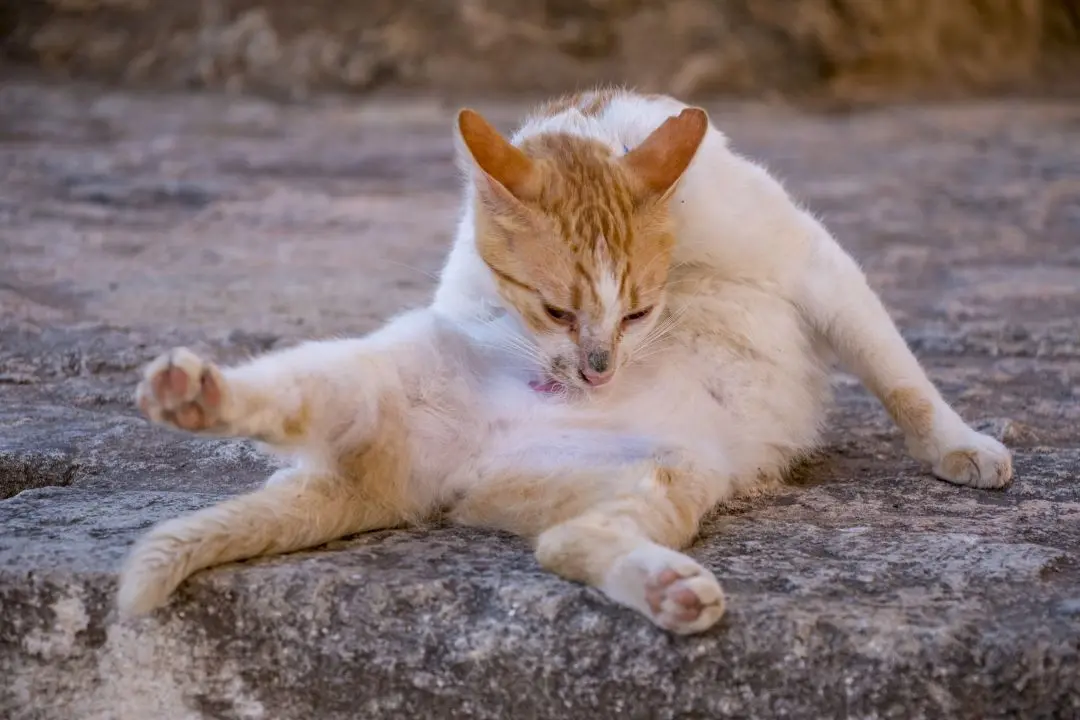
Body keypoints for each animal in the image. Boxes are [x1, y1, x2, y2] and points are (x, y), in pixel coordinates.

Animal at [118, 87, 1010, 634]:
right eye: (554, 311)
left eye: (640, 311)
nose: (595, 374)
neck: (688, 263)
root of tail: (437, 475)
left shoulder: (821, 267)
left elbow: (900, 376)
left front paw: (958, 446)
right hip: (354, 375)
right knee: (281, 401)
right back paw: (191, 394)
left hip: (657, 475)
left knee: (567, 543)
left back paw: (667, 590)